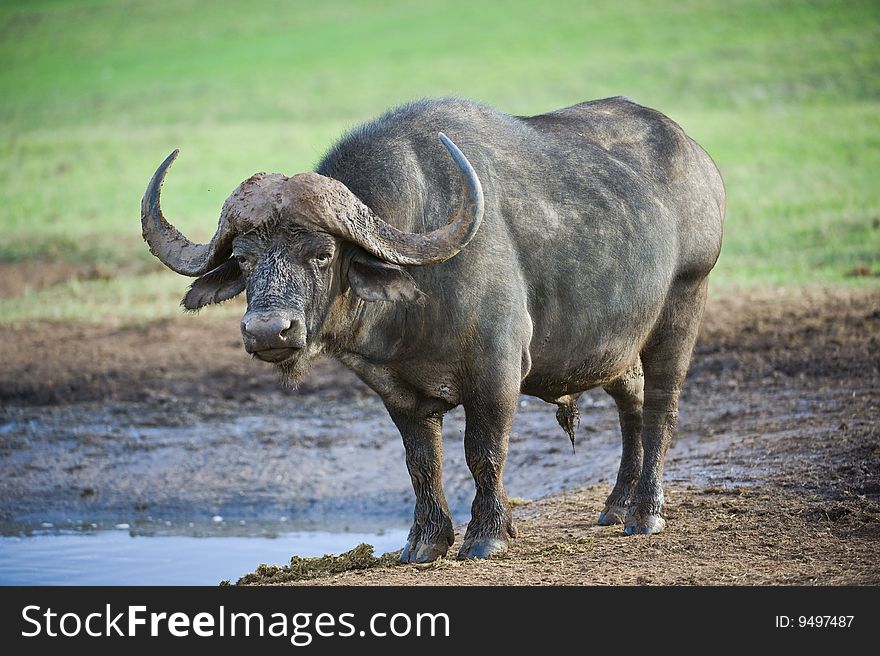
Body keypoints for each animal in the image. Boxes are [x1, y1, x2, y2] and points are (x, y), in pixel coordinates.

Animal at [141, 95, 724, 560]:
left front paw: (487, 535)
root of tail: (698, 158)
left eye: (322, 254)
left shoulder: (496, 374)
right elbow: (421, 461)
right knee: (632, 402)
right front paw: (425, 542)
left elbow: (483, 452)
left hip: (685, 301)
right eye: (243, 259)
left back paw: (645, 513)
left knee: (662, 407)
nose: (268, 332)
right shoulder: (396, 391)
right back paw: (616, 505)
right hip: (614, 344)